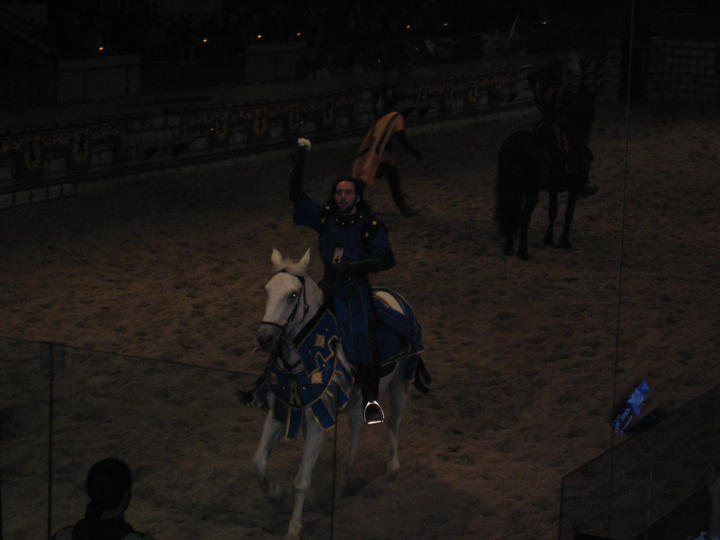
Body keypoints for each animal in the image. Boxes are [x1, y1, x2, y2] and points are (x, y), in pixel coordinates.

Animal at [248, 249, 428, 540]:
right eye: (267, 290)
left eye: (293, 295)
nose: (265, 337)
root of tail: (397, 298)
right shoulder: (279, 412)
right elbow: (258, 464)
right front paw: (275, 493)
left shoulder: (316, 424)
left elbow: (302, 481)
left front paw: (294, 527)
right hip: (358, 402)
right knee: (357, 430)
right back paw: (346, 480)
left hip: (401, 382)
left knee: (394, 423)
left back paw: (392, 469)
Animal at [498, 65, 600, 260]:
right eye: (591, 110)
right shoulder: (574, 188)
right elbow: (568, 214)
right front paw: (565, 242)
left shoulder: (553, 188)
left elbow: (553, 212)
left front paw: (549, 240)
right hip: (531, 190)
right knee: (524, 217)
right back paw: (523, 252)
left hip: (514, 187)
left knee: (511, 213)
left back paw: (508, 249)